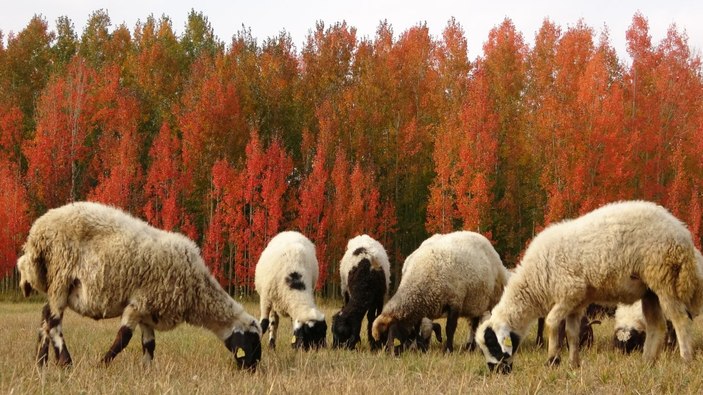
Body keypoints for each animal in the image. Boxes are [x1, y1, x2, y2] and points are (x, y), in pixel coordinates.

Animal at [16, 201, 264, 372]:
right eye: (252, 341)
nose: (252, 370)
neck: (196, 292)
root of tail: (35, 234)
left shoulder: (150, 311)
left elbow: (149, 345)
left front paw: (147, 370)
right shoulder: (139, 304)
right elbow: (123, 339)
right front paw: (102, 364)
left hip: (57, 285)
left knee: (45, 316)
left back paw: (41, 362)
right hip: (61, 275)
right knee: (54, 322)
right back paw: (66, 362)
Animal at [372, 230, 508, 354]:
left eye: (391, 335)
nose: (389, 354)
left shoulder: (455, 301)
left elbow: (450, 328)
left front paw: (448, 350)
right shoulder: (420, 308)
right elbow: (417, 328)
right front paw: (420, 348)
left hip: (491, 299)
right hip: (475, 302)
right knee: (474, 324)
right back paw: (470, 346)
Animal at [472, 201, 703, 374]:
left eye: (493, 344)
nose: (498, 372)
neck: (535, 282)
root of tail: (683, 232)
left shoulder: (569, 292)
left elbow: (552, 322)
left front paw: (552, 360)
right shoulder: (577, 301)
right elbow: (572, 333)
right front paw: (574, 364)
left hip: (664, 278)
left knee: (680, 320)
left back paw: (685, 360)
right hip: (650, 290)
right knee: (657, 326)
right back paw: (647, 362)